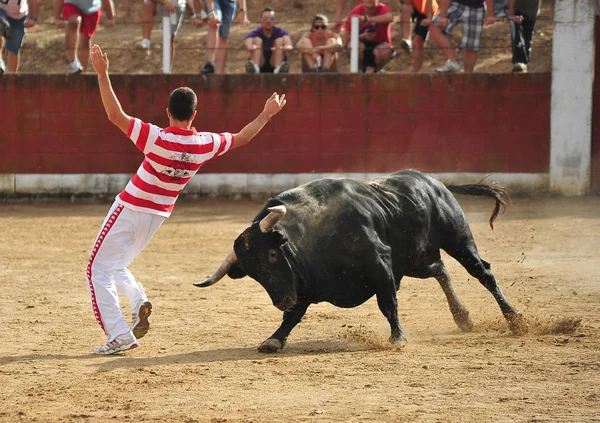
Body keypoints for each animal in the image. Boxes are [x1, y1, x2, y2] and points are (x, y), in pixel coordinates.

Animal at [195, 171, 528, 352]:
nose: (282, 299)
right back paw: (463, 317)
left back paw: (516, 320)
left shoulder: (380, 264)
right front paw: (273, 341)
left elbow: (388, 303)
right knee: (441, 271)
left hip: (457, 240)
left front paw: (398, 338)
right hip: (415, 261)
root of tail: (435, 182)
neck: (314, 233)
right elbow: (293, 317)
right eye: (254, 273)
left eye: (273, 254)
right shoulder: (305, 285)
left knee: (483, 273)